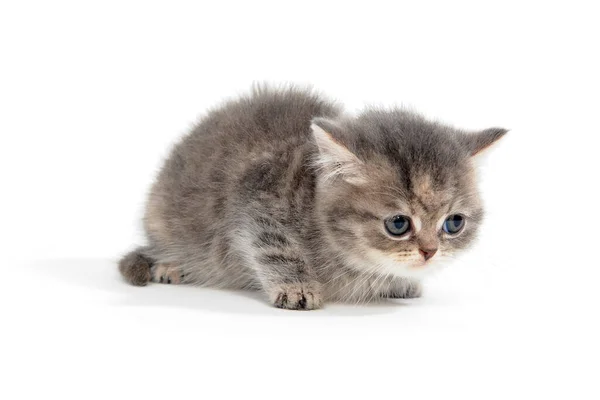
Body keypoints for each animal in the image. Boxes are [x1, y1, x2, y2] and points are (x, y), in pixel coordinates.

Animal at [118, 85, 506, 310]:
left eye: (454, 223)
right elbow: (274, 245)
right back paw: (170, 264)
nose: (430, 252)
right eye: (398, 224)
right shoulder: (256, 199)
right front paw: (297, 286)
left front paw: (397, 282)